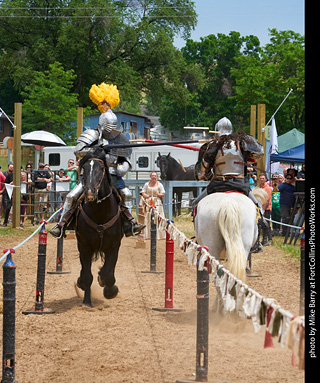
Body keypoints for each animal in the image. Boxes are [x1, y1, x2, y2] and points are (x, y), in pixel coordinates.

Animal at [75, 147, 123, 308]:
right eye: (84, 168)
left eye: (101, 168)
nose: (90, 192)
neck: (100, 213)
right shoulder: (84, 246)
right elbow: (88, 276)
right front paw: (87, 302)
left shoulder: (114, 246)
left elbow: (108, 274)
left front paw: (110, 290)